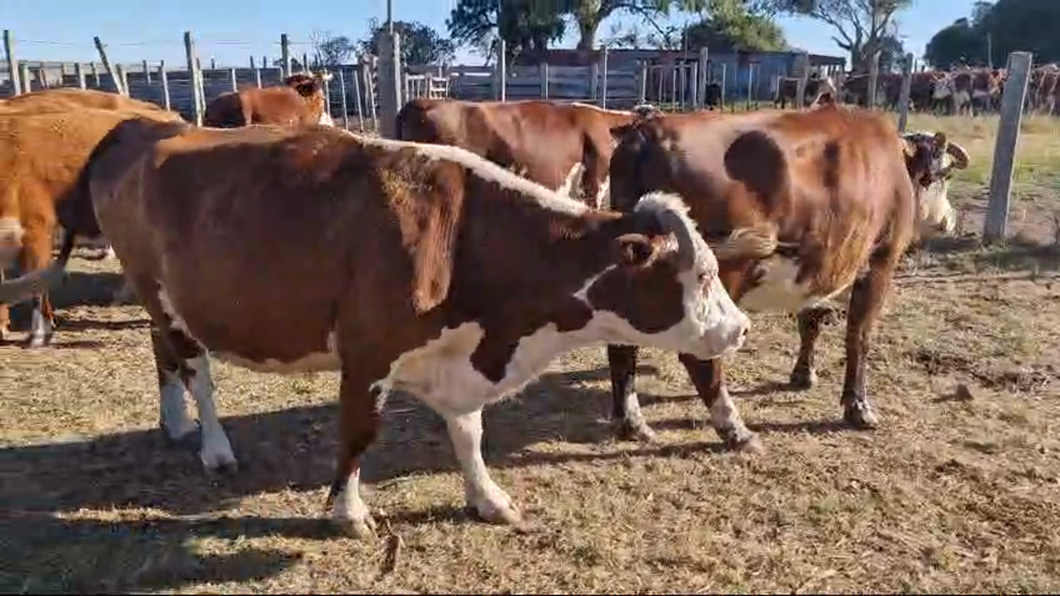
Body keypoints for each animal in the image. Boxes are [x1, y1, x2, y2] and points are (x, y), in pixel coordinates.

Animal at [18, 117, 763, 534]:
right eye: (700, 276)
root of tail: (134, 128)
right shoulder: (368, 351)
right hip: (159, 289)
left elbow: (470, 434)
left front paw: (488, 499)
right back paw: (212, 444)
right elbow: (359, 433)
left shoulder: (459, 359)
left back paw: (173, 422)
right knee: (194, 367)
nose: (740, 331)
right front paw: (347, 514)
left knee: (162, 352)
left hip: (161, 300)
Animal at [602, 105, 970, 449]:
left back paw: (631, 422)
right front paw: (858, 406)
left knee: (621, 346)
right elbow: (859, 336)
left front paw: (803, 374)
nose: (950, 220)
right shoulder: (880, 262)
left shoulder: (821, 265)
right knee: (699, 357)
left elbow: (811, 322)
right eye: (944, 176)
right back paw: (734, 429)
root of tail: (647, 132)